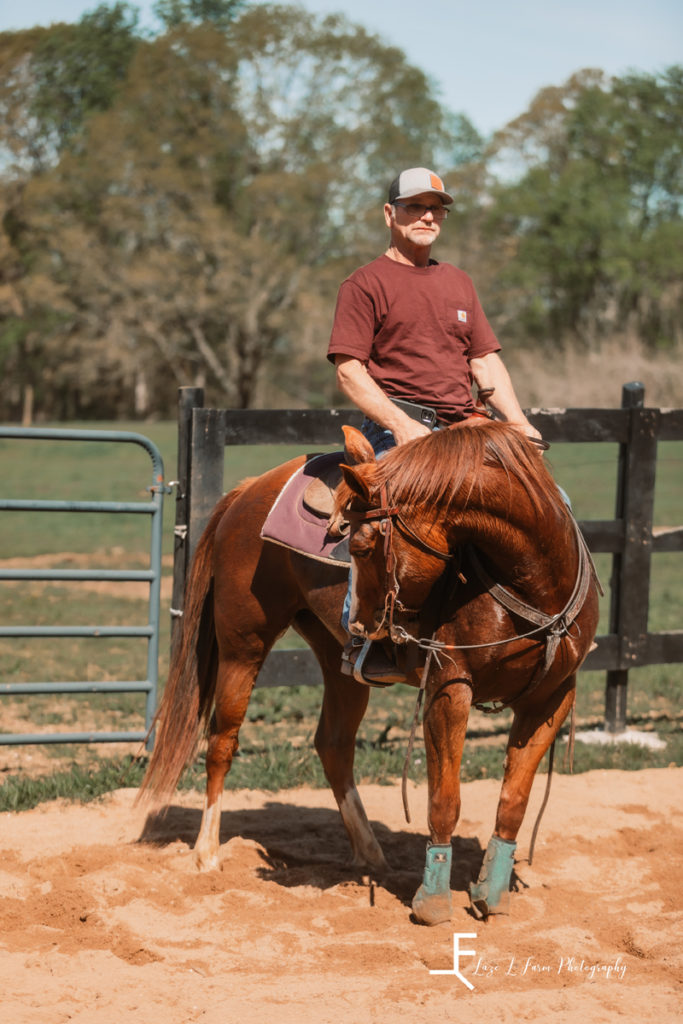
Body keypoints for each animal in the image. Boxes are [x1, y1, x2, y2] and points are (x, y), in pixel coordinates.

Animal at [143, 417, 598, 929]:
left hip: (338, 662)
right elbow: (445, 798)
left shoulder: (552, 697)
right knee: (222, 742)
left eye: (361, 544)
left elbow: (514, 800)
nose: (361, 622)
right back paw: (206, 852)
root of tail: (247, 491)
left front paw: (492, 893)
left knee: (334, 745)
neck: (532, 585)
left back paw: (369, 852)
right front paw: (432, 901)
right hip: (243, 644)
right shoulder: (448, 689)